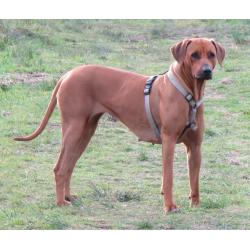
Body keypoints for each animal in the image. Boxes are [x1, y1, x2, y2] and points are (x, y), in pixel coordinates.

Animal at [14, 38, 225, 212]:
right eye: (194, 55)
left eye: (211, 55)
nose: (206, 71)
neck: (188, 92)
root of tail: (67, 74)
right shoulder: (169, 142)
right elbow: (169, 178)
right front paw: (169, 206)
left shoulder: (195, 147)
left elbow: (194, 180)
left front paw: (195, 204)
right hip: (74, 129)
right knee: (60, 168)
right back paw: (60, 202)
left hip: (85, 132)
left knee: (69, 165)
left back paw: (67, 196)